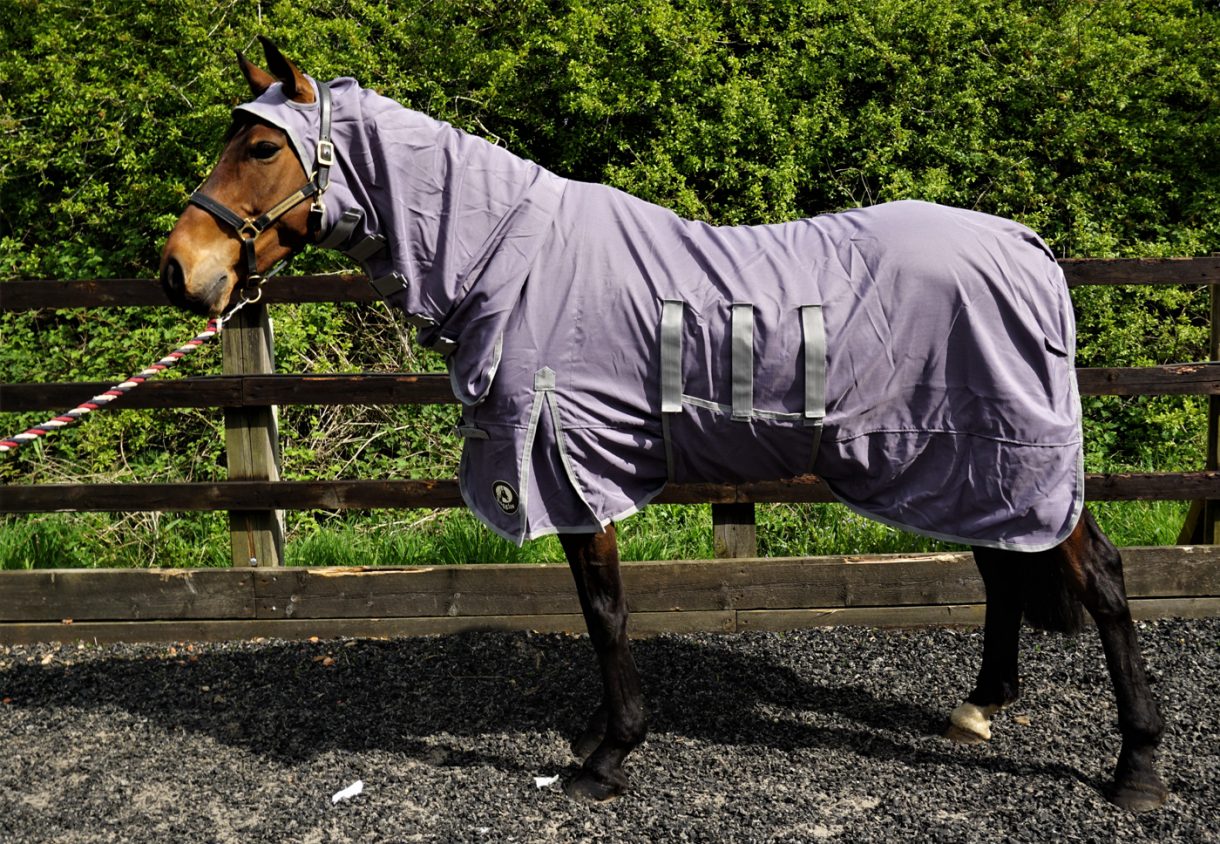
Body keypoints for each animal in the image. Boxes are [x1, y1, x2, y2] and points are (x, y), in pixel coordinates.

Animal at [160, 37, 1169, 811]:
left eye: (260, 146)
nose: (180, 270)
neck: (514, 261)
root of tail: (1027, 247)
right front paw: (602, 742)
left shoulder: (570, 465)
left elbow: (605, 612)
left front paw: (607, 757)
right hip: (969, 459)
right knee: (1002, 569)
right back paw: (980, 705)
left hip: (1012, 455)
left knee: (1103, 580)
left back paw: (1137, 769)